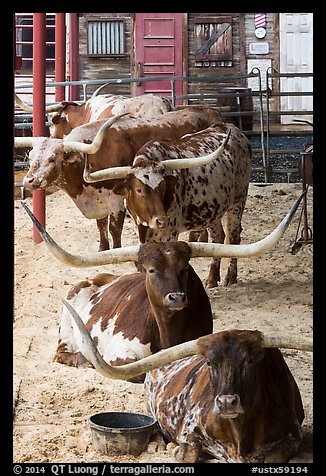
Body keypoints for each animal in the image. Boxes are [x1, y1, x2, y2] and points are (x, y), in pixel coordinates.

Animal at [15, 106, 224, 251]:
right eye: (31, 157)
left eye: (52, 158)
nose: (28, 181)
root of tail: (213, 112)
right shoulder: (99, 200)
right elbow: (101, 225)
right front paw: (102, 249)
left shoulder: (116, 201)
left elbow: (115, 230)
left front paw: (115, 251)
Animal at [83, 122, 252, 286]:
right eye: (139, 189)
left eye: (163, 187)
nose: (161, 221)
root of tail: (236, 131)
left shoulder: (170, 233)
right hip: (213, 208)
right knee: (218, 236)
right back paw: (212, 278)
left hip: (239, 198)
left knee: (234, 236)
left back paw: (231, 276)